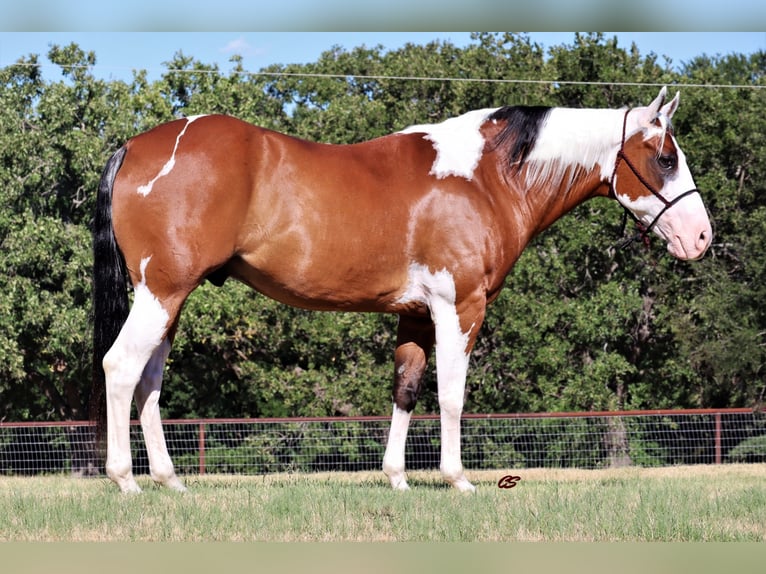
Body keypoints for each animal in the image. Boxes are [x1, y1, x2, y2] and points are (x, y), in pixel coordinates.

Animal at [94, 86, 712, 496]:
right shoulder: (461, 307)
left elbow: (406, 389)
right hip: (162, 292)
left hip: (170, 299)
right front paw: (458, 480)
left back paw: (170, 483)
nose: (702, 237)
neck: (486, 178)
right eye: (665, 158)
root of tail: (137, 145)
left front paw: (396, 479)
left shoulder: (416, 314)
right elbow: (452, 395)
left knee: (149, 380)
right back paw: (126, 482)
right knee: (121, 368)